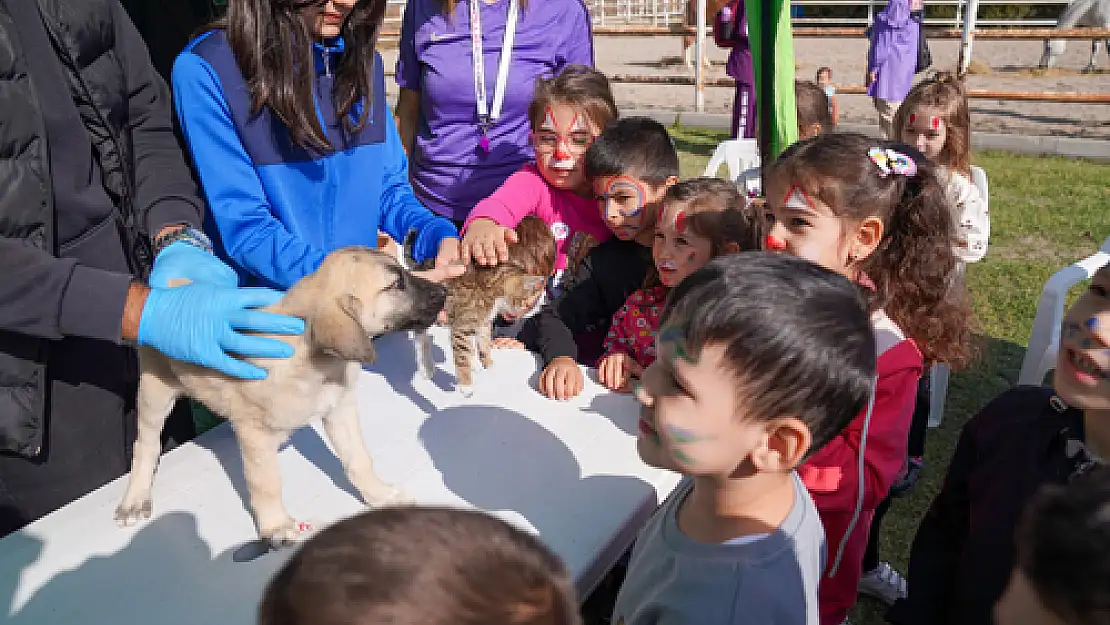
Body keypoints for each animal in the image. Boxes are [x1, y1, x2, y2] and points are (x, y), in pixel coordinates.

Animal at [110, 248, 444, 548]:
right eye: (396, 284)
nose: (442, 290)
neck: (313, 361)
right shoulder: (255, 433)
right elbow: (266, 484)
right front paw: (277, 527)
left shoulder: (339, 407)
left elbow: (358, 458)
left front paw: (379, 495)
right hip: (155, 390)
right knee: (146, 445)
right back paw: (134, 499)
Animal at [410, 215, 555, 395]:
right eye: (531, 300)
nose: (541, 306)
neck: (494, 288)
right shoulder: (463, 325)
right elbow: (461, 355)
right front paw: (466, 385)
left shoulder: (483, 322)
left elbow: (484, 341)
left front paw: (488, 362)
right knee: (420, 335)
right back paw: (427, 367)